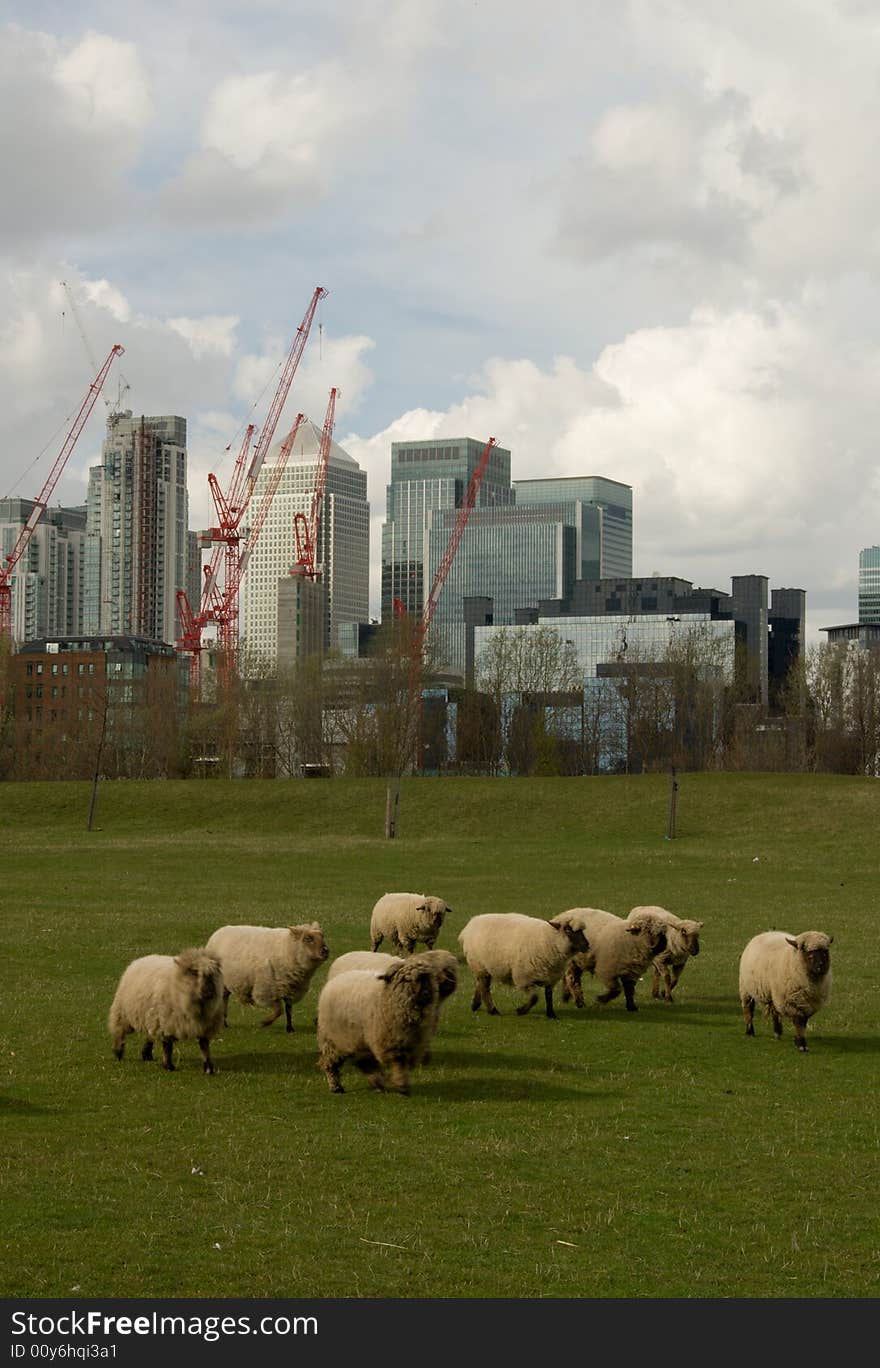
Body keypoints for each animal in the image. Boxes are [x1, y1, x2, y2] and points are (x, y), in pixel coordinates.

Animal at [314, 957, 440, 1094]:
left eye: (427, 979)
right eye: (407, 979)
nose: (427, 994)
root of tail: (333, 981)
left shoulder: (410, 1043)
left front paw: (402, 1084)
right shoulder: (390, 1043)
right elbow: (398, 1062)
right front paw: (401, 1084)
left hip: (358, 1038)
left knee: (364, 1061)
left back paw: (377, 1083)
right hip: (334, 1038)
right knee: (330, 1062)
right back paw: (336, 1086)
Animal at [454, 908, 591, 1017]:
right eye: (568, 930)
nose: (587, 945)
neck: (548, 940)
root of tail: (470, 925)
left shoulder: (550, 977)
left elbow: (548, 996)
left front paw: (551, 1014)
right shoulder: (524, 977)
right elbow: (534, 998)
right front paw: (521, 1011)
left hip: (483, 968)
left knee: (480, 984)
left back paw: (475, 1005)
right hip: (479, 965)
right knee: (485, 988)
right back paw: (493, 1010)